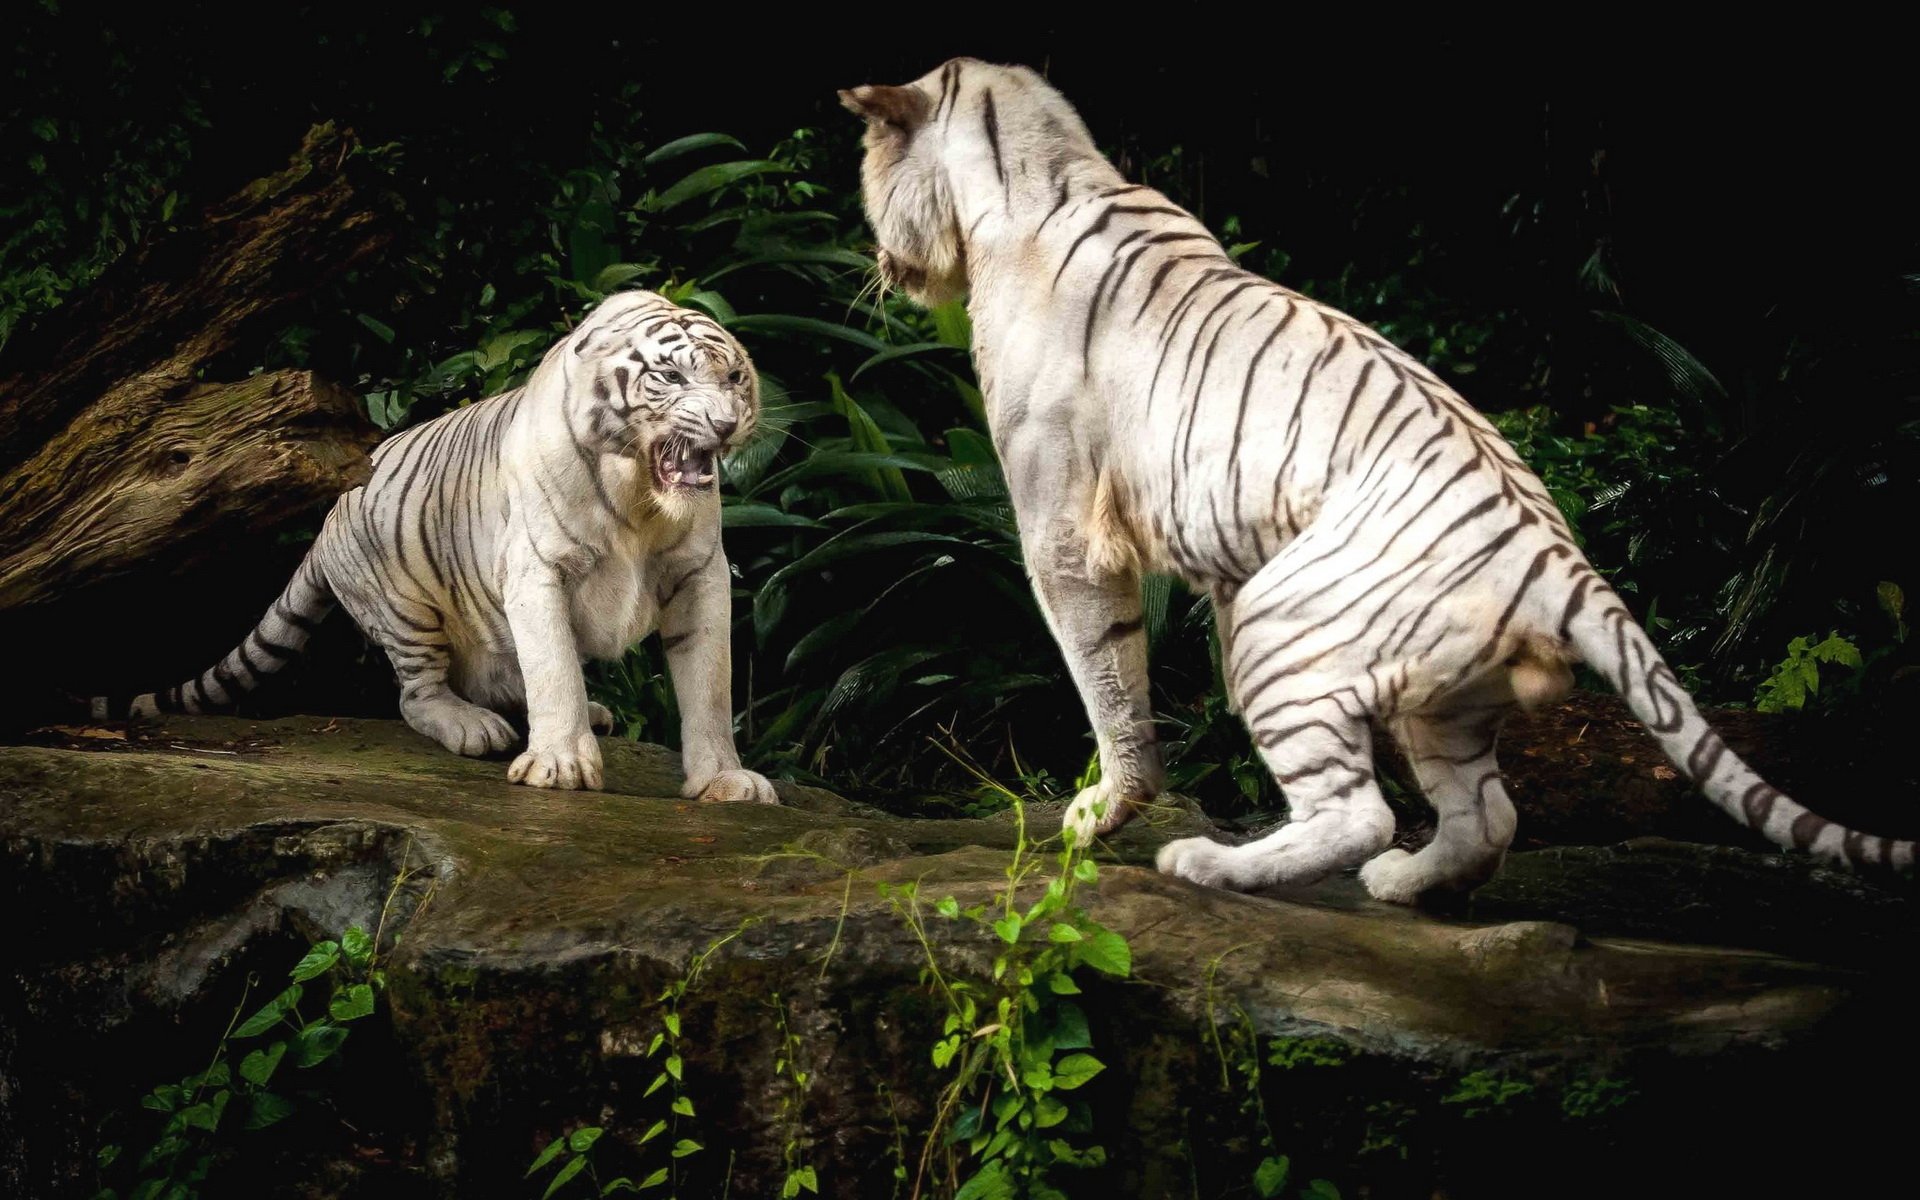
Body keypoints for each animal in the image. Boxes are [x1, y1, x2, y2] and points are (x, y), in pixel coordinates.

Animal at [119, 290, 777, 803]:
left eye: (735, 379)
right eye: (671, 377)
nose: (724, 425)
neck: (639, 498)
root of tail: (326, 519)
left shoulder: (701, 575)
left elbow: (709, 685)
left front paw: (726, 780)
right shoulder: (538, 571)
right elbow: (554, 668)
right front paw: (562, 765)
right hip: (406, 609)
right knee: (416, 696)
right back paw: (474, 728)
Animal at [840, 59, 1913, 901]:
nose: (880, 268)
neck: (1038, 168)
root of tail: (1559, 557)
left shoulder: (1063, 526)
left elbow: (1103, 672)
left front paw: (1104, 811)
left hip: (1277, 627)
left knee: (1358, 813)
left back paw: (1215, 865)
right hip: (1439, 695)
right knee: (1487, 816)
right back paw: (1403, 886)